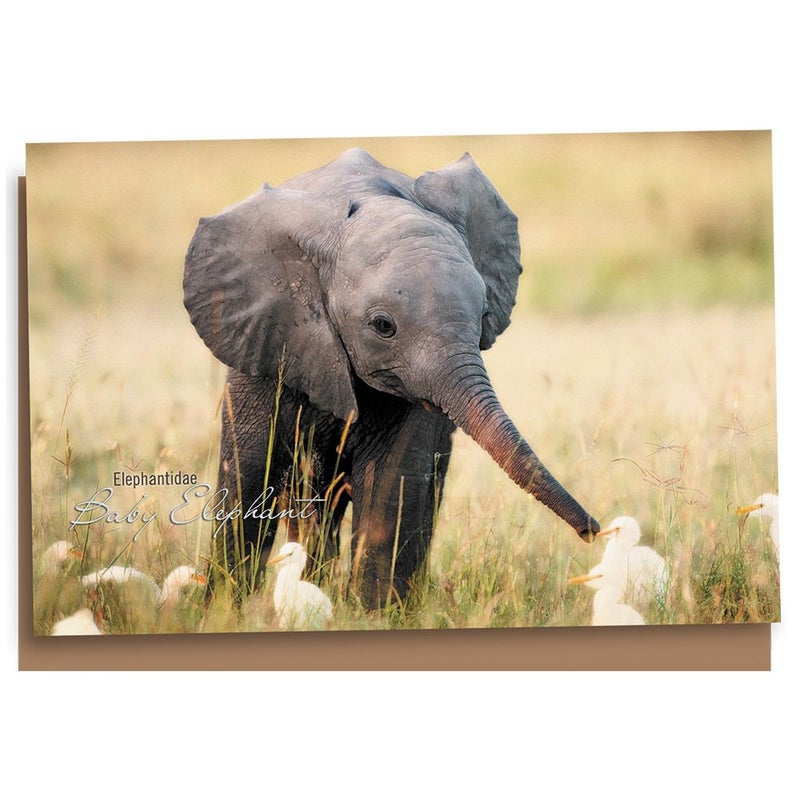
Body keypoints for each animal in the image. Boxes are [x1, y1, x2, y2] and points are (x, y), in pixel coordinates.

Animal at [183, 147, 599, 609]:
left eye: (484, 316)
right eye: (383, 326)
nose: (593, 531)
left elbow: (393, 480)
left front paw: (373, 613)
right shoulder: (265, 341)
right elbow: (250, 473)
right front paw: (223, 609)